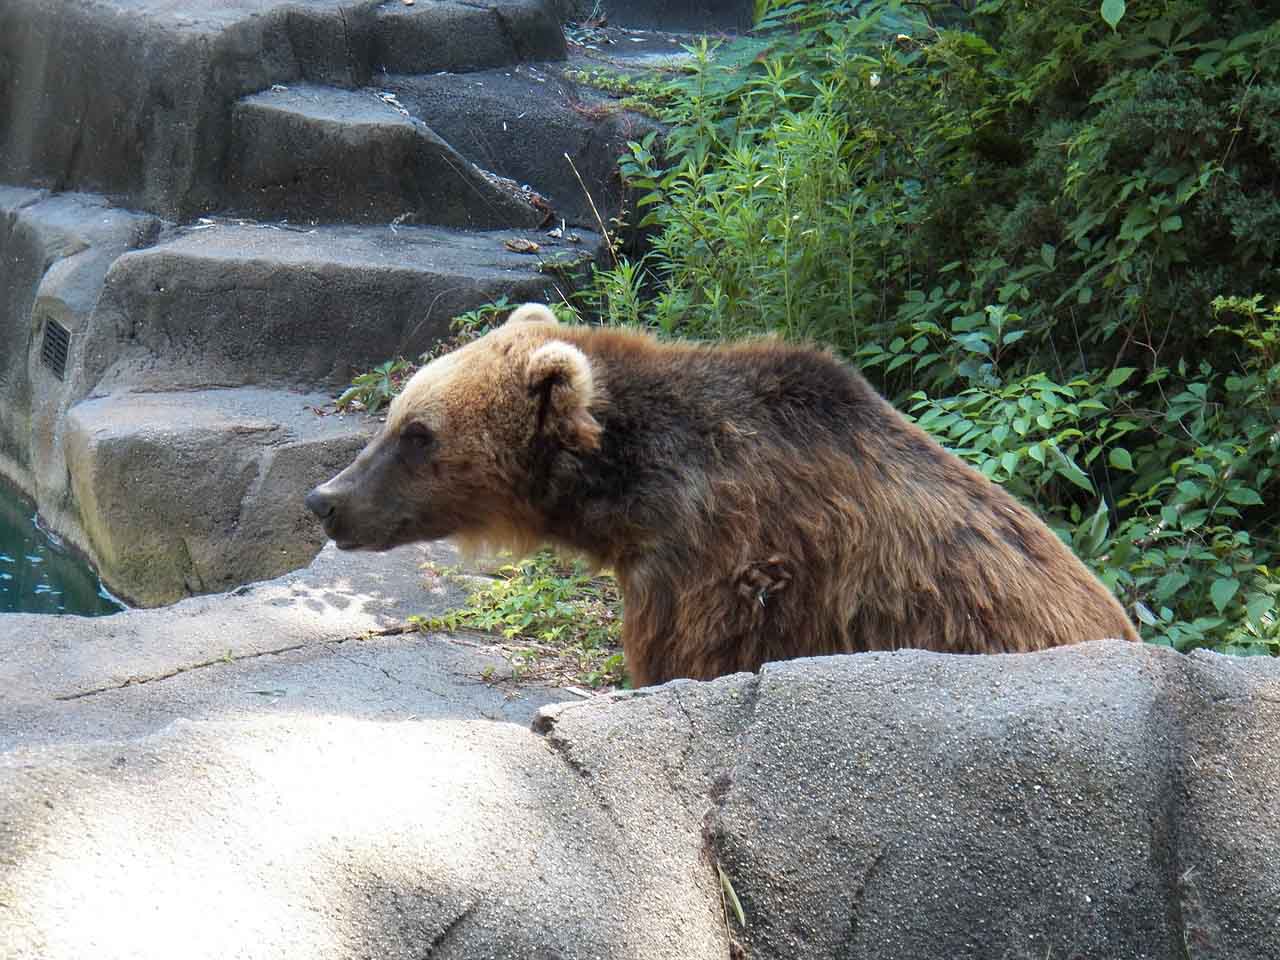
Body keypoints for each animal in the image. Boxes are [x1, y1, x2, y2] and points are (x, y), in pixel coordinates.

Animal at [307, 304, 1141, 686]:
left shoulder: (725, 566)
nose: (324, 498)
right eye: (395, 419)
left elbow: (689, 663)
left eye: (418, 433)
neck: (635, 489)